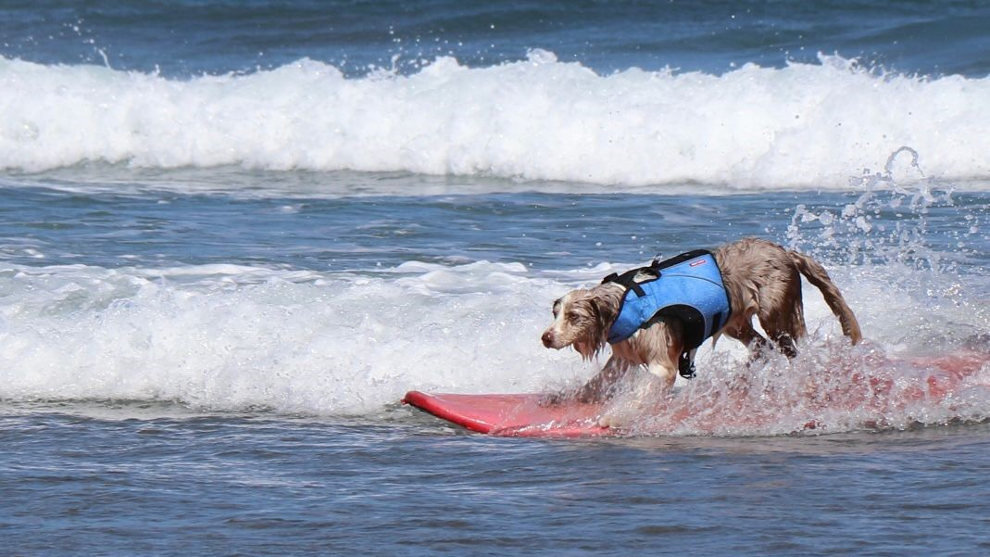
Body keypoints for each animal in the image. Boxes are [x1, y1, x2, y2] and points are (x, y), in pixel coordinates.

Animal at [544, 237, 860, 402]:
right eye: (556, 314)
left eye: (574, 316)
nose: (546, 338)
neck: (624, 304)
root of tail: (785, 252)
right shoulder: (623, 357)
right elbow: (597, 381)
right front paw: (568, 396)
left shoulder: (662, 362)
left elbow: (650, 387)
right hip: (736, 323)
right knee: (761, 347)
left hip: (775, 315)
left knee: (788, 349)